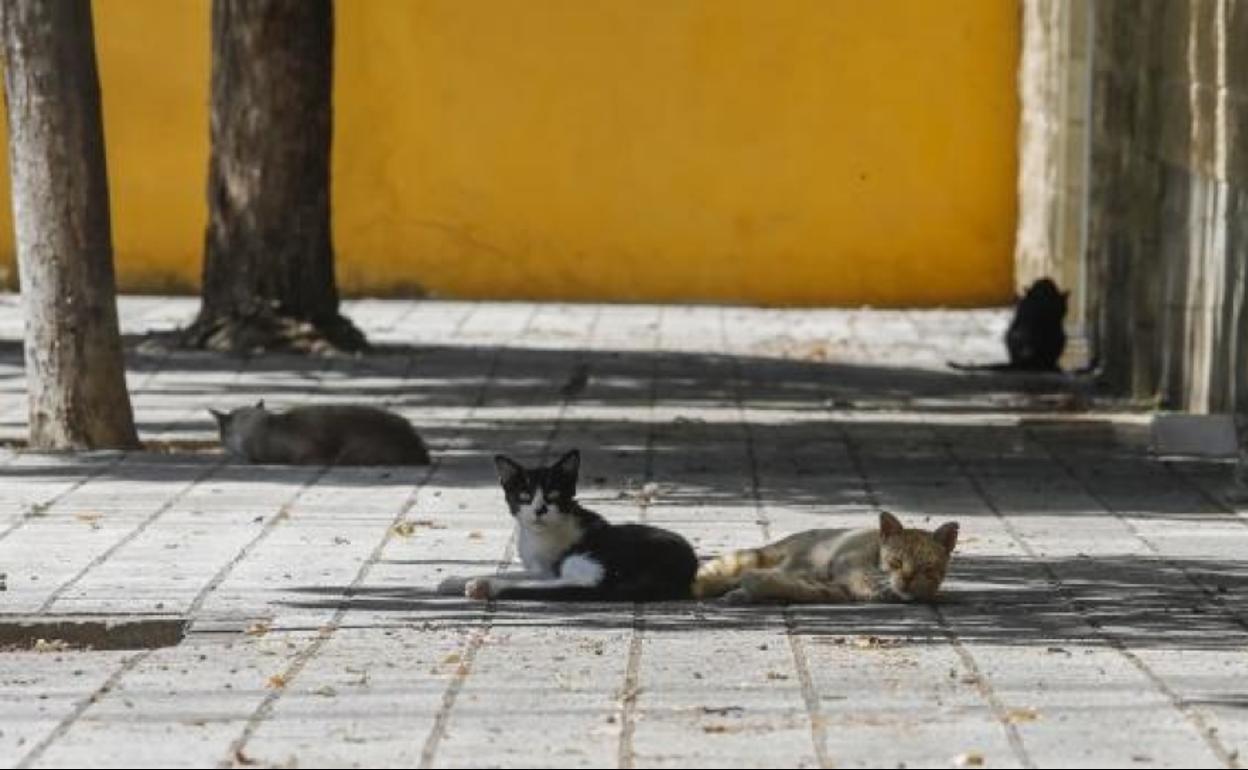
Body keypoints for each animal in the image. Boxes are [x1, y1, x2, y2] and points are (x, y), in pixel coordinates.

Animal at [439, 449, 698, 601]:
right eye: (524, 496)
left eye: (553, 495)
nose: (540, 510)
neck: (538, 536)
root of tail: (685, 571)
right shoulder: (539, 568)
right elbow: (509, 570)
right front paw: (452, 581)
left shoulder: (548, 569)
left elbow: (521, 577)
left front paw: (479, 581)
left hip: (585, 556)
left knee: (581, 584)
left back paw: (486, 587)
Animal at [693, 514, 953, 604]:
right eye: (896, 562)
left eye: (927, 568)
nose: (907, 579)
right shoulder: (842, 565)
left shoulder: (832, 590)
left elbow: (791, 587)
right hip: (764, 556)